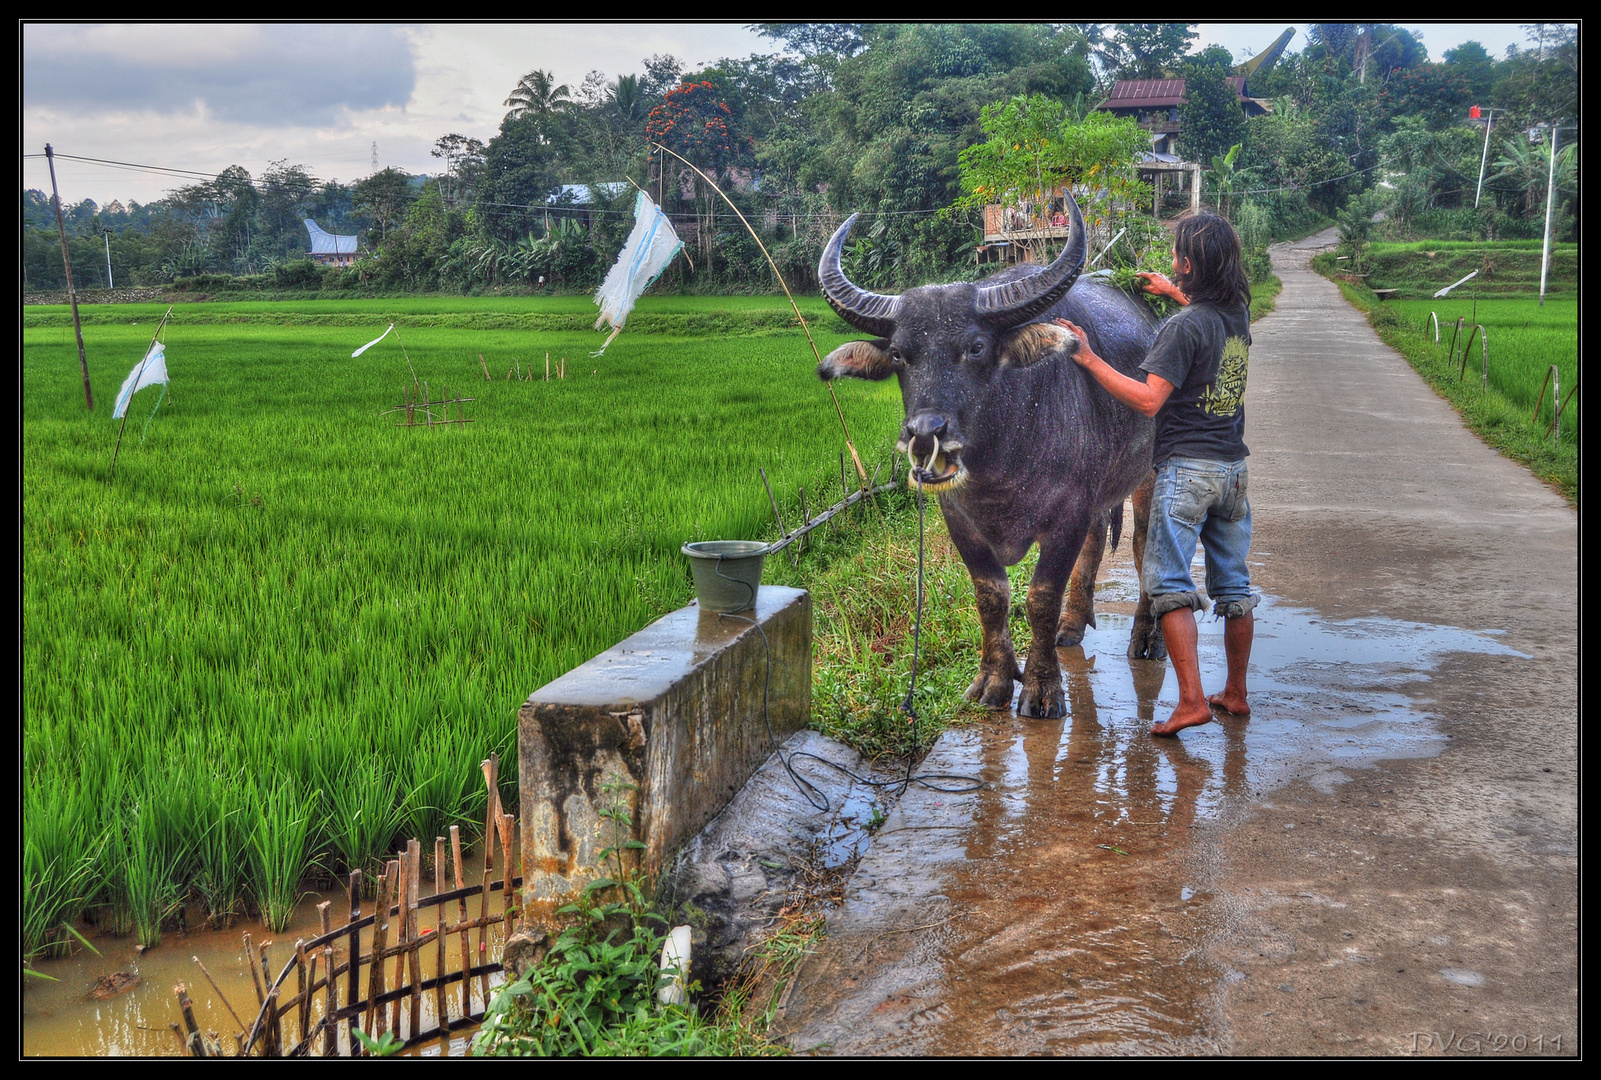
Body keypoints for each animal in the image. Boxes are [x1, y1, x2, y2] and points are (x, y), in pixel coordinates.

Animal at [819, 192, 1171, 716]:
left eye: (976, 346)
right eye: (900, 354)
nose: (926, 435)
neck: (1002, 465)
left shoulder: (1065, 516)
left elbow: (1040, 597)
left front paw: (1043, 689)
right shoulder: (960, 520)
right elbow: (991, 597)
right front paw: (995, 679)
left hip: (1149, 470)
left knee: (1144, 544)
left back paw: (1146, 639)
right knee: (1096, 541)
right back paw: (1073, 624)